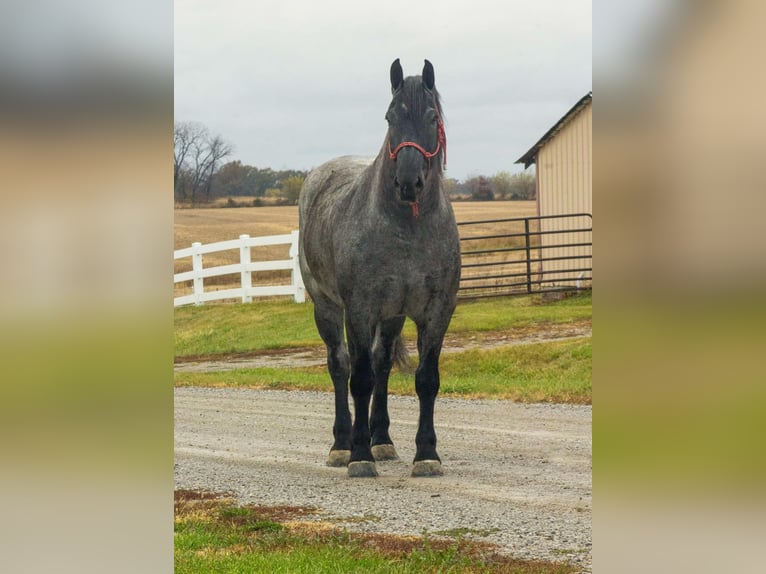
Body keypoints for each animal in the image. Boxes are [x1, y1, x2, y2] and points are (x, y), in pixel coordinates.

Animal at [298, 58, 460, 478]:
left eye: (431, 116)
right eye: (390, 117)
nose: (408, 182)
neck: (407, 227)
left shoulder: (435, 312)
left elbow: (425, 379)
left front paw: (426, 454)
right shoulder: (359, 309)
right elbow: (360, 378)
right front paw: (359, 456)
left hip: (392, 317)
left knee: (382, 363)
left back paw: (382, 440)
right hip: (327, 307)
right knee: (340, 366)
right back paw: (342, 444)